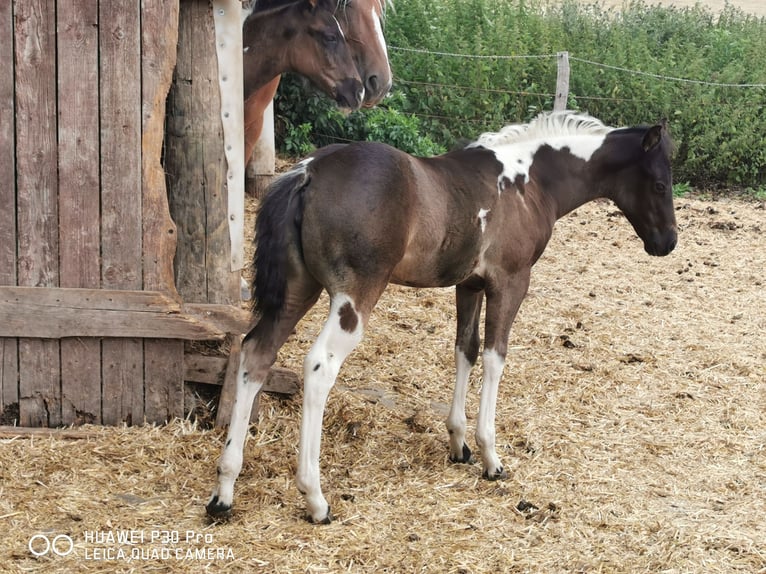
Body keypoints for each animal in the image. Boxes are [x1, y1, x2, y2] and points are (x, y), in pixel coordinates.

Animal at [206, 111, 678, 524]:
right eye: (659, 183)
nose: (667, 243)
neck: (529, 181)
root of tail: (307, 171)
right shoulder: (510, 282)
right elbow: (494, 357)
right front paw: (490, 457)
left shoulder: (469, 285)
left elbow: (464, 350)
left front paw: (459, 444)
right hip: (352, 296)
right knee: (319, 366)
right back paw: (316, 499)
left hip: (297, 289)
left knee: (255, 354)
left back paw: (224, 490)